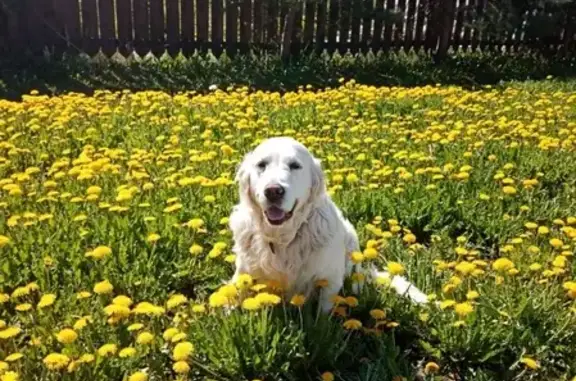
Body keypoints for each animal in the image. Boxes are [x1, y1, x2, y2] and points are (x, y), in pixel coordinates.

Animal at [227, 137, 430, 312]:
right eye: (261, 164)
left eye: (295, 166)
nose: (273, 191)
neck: (281, 238)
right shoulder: (243, 271)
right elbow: (233, 295)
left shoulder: (330, 279)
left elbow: (323, 316)